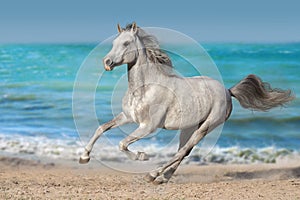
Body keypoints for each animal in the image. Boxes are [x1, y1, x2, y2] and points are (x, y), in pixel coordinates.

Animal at [78, 22, 294, 184]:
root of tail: (227, 91)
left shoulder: (148, 126)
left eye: (126, 43)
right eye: (114, 42)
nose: (107, 63)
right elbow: (102, 128)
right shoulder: (128, 117)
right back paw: (162, 178)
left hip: (205, 127)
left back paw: (153, 175)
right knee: (184, 152)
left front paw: (142, 156)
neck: (146, 87)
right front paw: (84, 157)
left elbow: (122, 144)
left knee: (182, 151)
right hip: (188, 128)